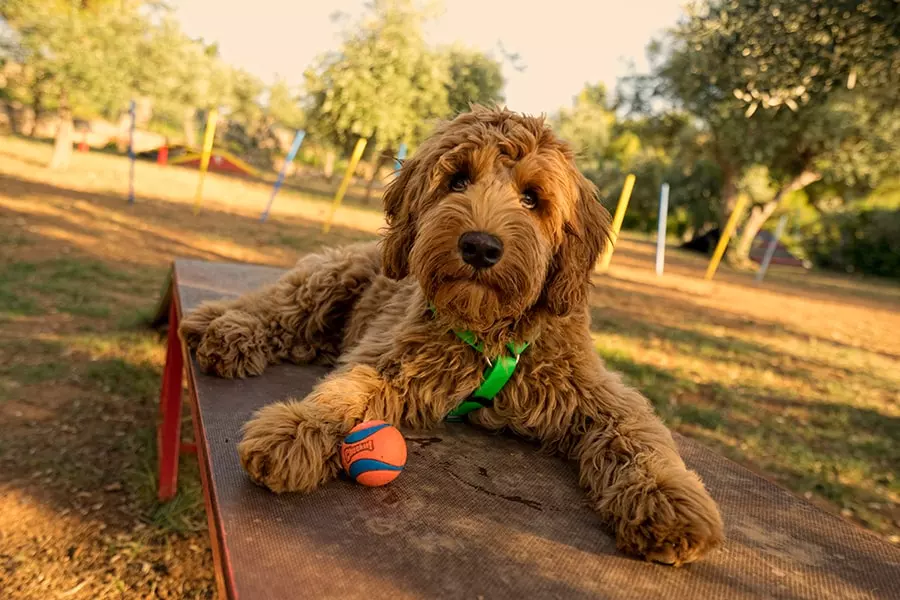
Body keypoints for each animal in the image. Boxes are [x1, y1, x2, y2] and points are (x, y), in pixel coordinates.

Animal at [181, 106, 724, 568]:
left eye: (532, 197)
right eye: (457, 179)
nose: (480, 246)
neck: (490, 334)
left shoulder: (597, 393)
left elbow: (638, 438)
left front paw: (666, 501)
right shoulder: (389, 358)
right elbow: (345, 392)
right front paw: (298, 428)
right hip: (332, 278)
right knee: (277, 305)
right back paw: (222, 324)